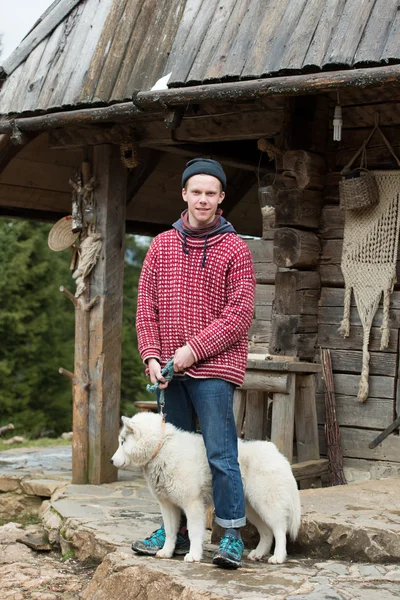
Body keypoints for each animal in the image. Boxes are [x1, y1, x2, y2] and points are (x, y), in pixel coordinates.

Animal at [111, 412, 302, 564]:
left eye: (122, 442)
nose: (111, 461)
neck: (161, 448)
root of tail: (277, 453)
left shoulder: (193, 505)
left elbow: (194, 532)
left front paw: (194, 555)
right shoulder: (167, 505)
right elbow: (171, 532)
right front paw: (166, 551)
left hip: (266, 505)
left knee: (280, 530)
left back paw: (278, 557)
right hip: (251, 509)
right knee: (267, 532)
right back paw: (258, 554)